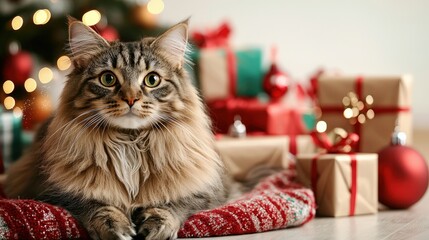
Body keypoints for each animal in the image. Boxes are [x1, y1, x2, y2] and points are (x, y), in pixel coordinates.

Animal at [5, 18, 241, 240]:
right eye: (108, 79)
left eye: (152, 79)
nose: (131, 99)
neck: (130, 142)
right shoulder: (53, 189)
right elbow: (96, 205)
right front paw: (115, 226)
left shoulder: (207, 188)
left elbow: (173, 203)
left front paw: (158, 225)